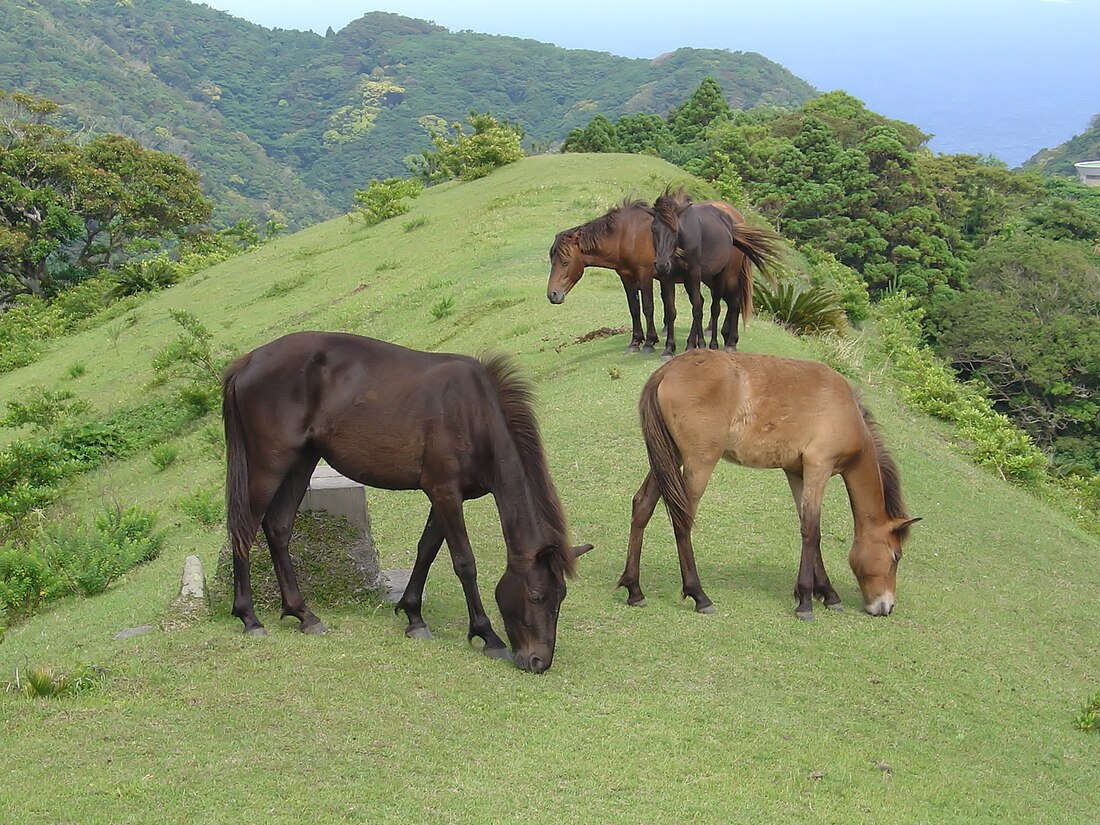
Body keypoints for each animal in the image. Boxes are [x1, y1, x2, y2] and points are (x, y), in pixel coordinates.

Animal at [222, 332, 594, 673]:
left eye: (561, 596)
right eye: (536, 596)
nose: (539, 661)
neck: (473, 413)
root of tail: (248, 362)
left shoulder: (444, 496)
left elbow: (426, 550)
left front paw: (414, 616)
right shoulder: (444, 493)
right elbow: (464, 563)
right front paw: (486, 635)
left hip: (302, 461)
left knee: (278, 527)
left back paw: (303, 614)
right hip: (269, 466)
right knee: (244, 531)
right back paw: (249, 618)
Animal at [620, 349, 919, 620]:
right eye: (896, 556)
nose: (886, 607)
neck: (846, 410)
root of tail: (666, 371)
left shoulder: (797, 473)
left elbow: (810, 529)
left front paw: (826, 593)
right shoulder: (818, 467)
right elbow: (812, 531)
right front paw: (806, 601)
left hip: (669, 456)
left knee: (642, 506)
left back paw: (634, 589)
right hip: (698, 462)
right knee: (683, 520)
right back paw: (699, 595)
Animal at [651, 189, 783, 354]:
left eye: (675, 230)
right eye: (653, 229)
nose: (661, 264)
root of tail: (733, 224)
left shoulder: (693, 275)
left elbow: (697, 308)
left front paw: (697, 344)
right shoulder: (668, 277)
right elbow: (671, 311)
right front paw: (669, 348)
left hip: (725, 276)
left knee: (724, 305)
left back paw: (723, 343)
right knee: (724, 302)